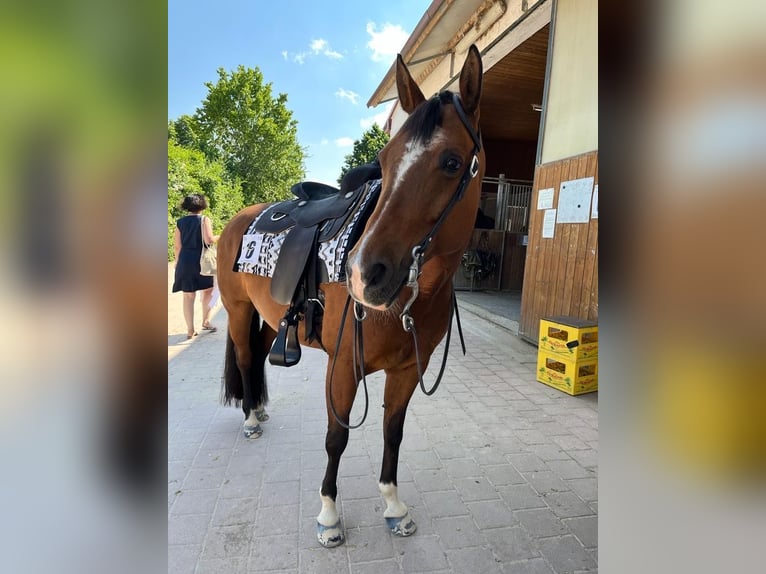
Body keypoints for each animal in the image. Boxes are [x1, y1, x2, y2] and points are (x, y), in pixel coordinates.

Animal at [216, 45, 486, 548]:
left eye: (452, 162)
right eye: (385, 158)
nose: (363, 274)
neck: (409, 302)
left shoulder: (406, 369)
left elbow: (392, 432)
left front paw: (394, 507)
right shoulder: (342, 366)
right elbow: (335, 437)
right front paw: (328, 515)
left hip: (268, 317)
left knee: (259, 355)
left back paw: (258, 408)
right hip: (239, 311)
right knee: (244, 357)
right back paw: (249, 419)